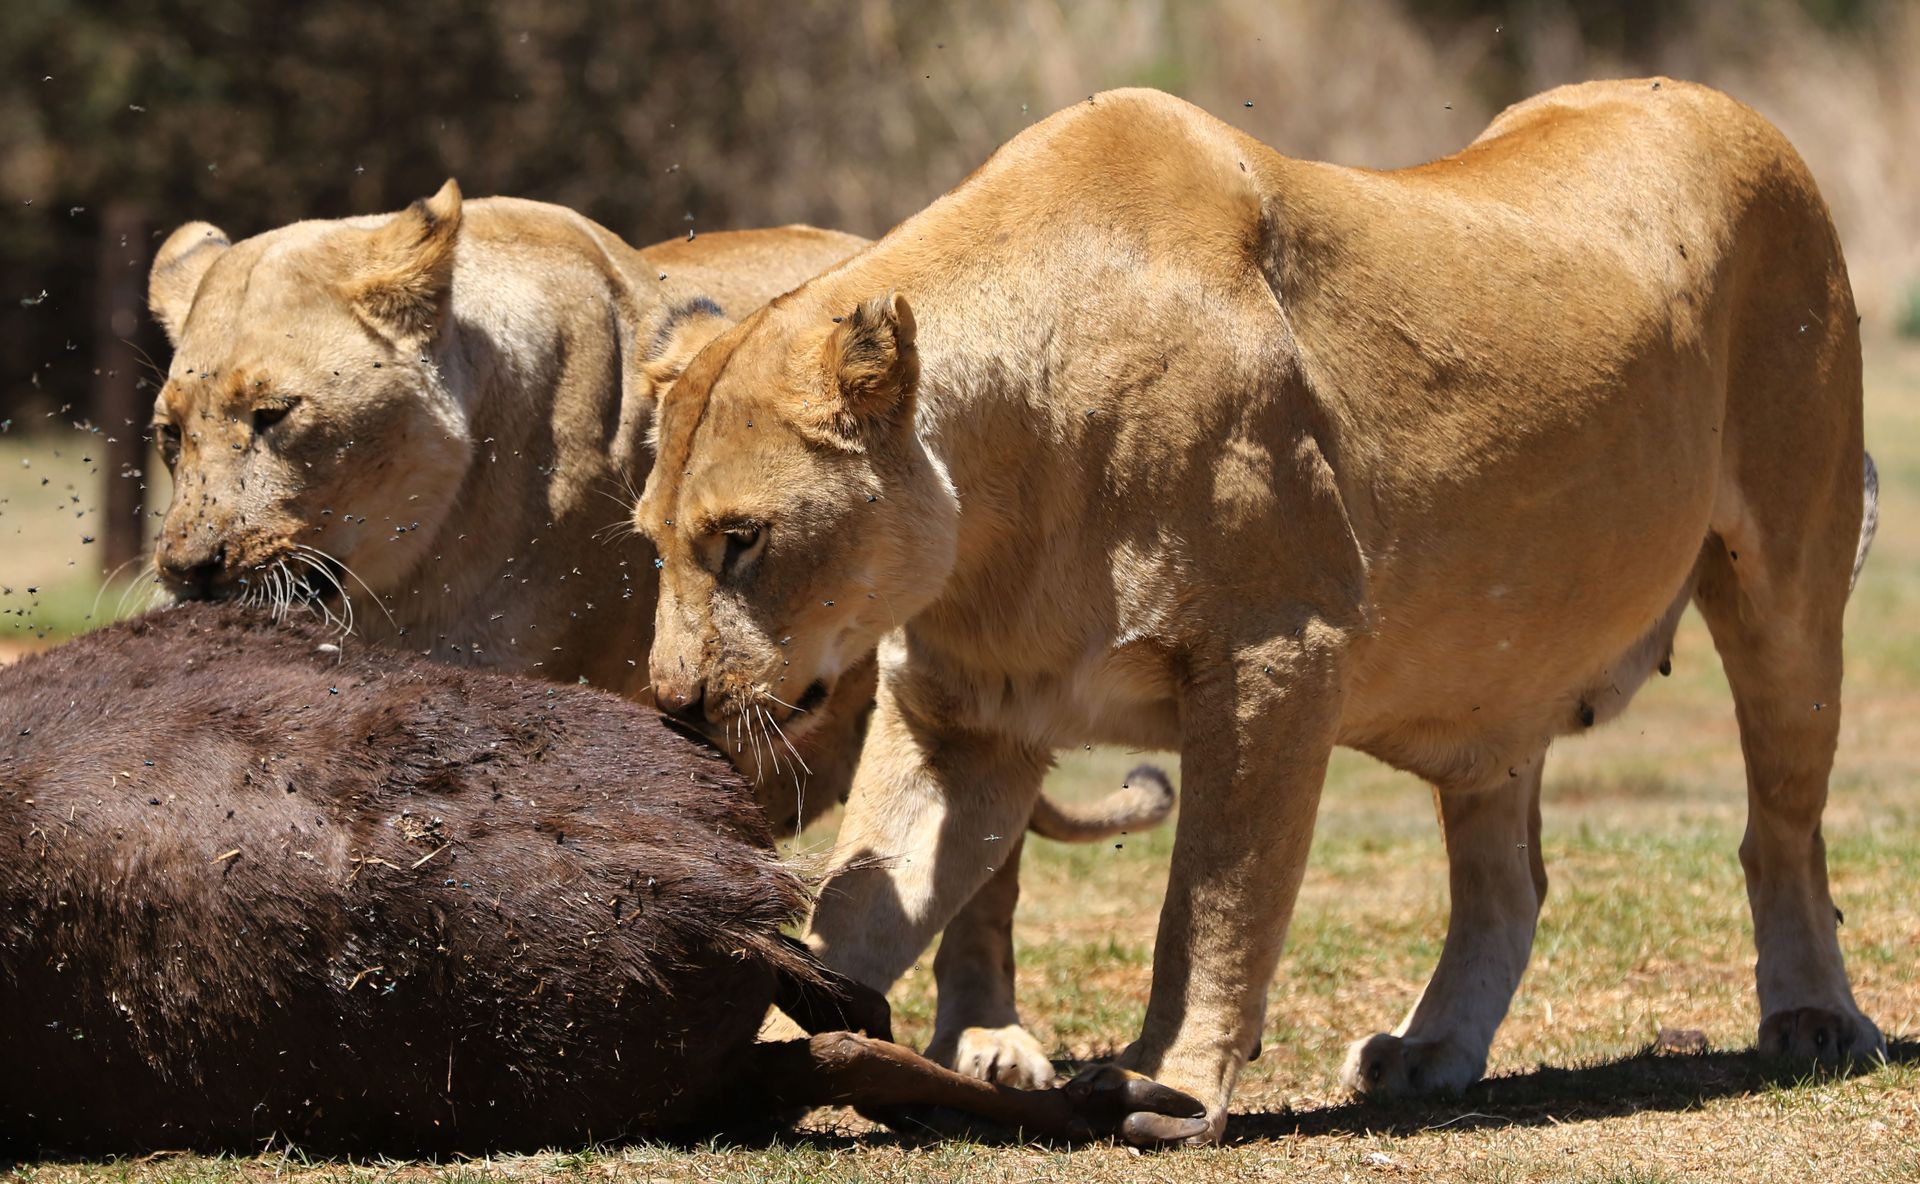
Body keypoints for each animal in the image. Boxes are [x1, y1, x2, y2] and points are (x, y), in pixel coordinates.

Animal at [145, 184, 1169, 1049]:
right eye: (167, 435)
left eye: (275, 415)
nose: (187, 570)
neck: (412, 574)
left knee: (988, 867)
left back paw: (990, 1041)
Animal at [634, 80, 1884, 1144]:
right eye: (652, 538)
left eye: (741, 539)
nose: (674, 702)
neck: (993, 496)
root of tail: (1731, 108)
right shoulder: (966, 715)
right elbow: (864, 889)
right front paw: (754, 1017)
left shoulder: (1275, 656)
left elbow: (1215, 899)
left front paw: (1173, 1082)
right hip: (1500, 668)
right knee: (1509, 881)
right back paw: (1429, 1046)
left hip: (1791, 580)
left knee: (1782, 826)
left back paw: (1815, 1017)